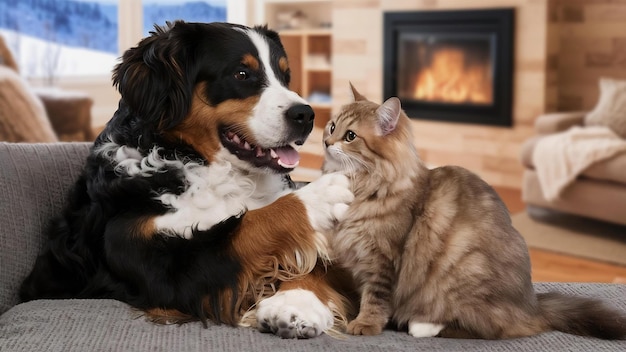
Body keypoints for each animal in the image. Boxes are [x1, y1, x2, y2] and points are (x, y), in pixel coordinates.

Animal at [18, 20, 352, 340]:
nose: (306, 115)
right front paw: (320, 195)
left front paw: (295, 304)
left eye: (286, 76)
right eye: (242, 73)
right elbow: (250, 225)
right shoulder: (163, 266)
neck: (199, 163)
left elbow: (308, 260)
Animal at [322, 84, 624, 340]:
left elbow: (375, 299)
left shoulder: (383, 259)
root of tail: (532, 306)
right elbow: (362, 293)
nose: (326, 142)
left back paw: (420, 326)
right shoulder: (361, 262)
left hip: (464, 272)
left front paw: (365, 324)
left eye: (350, 136)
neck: (363, 185)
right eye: (332, 126)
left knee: (488, 329)